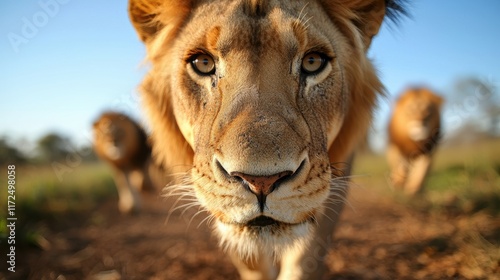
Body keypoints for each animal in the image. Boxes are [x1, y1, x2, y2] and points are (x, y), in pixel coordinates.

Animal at [128, 1, 406, 278]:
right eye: (203, 63)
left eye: (313, 62)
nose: (261, 182)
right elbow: (248, 257)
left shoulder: (334, 175)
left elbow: (307, 256)